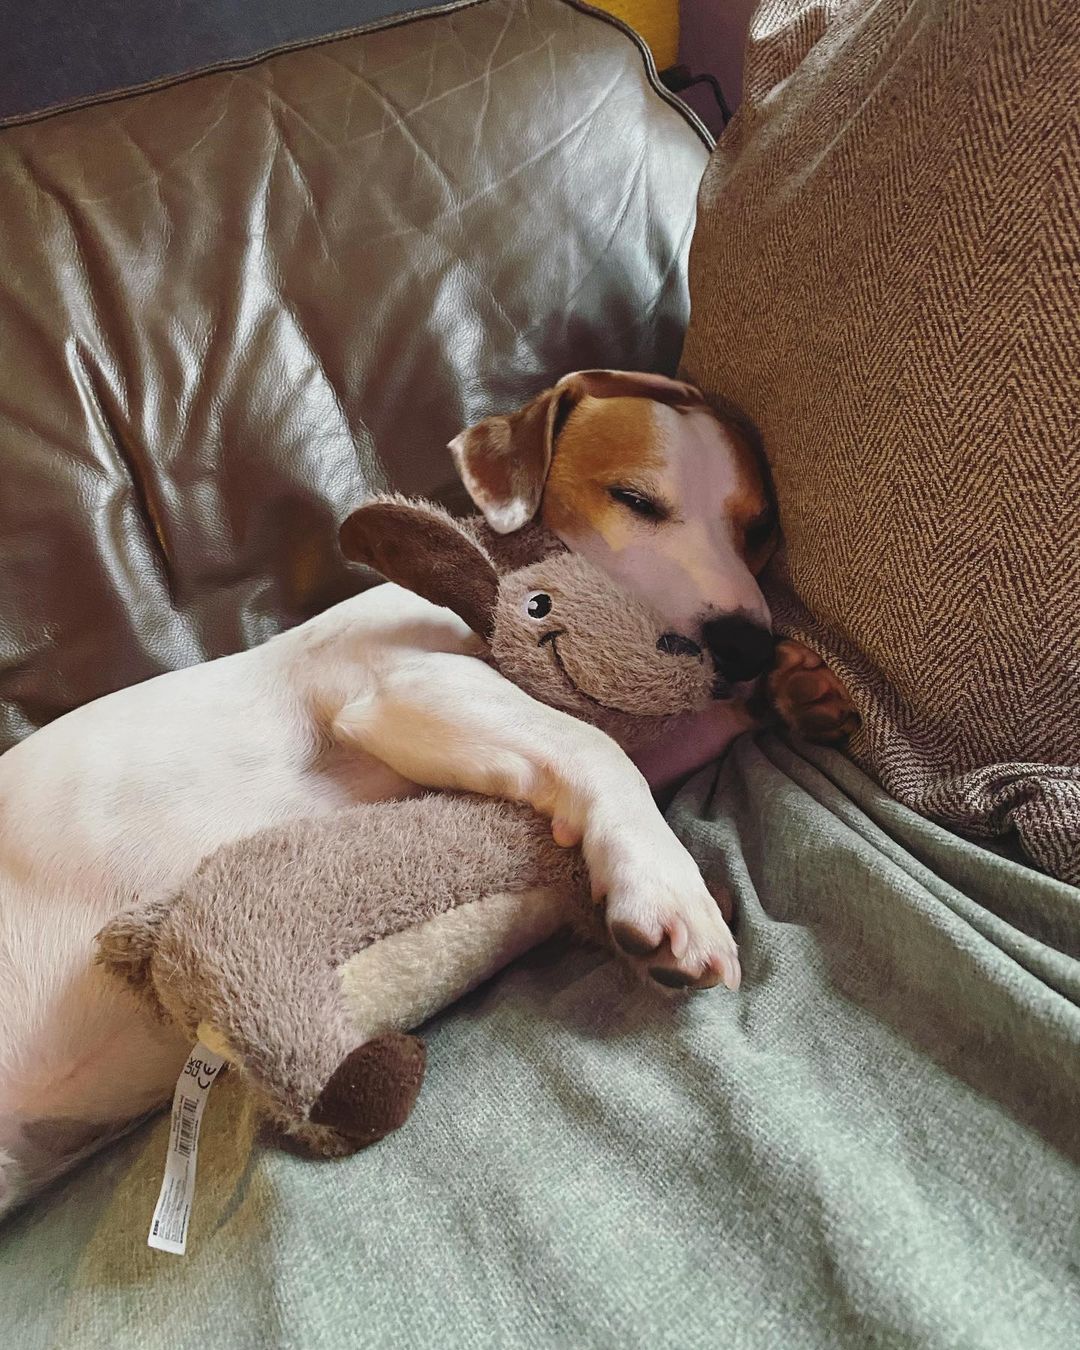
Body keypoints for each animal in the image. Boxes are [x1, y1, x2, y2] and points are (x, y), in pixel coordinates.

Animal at [0, 367, 858, 1215]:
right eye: (636, 500)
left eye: (758, 528)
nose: (747, 644)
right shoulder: (409, 687)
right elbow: (599, 744)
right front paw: (670, 887)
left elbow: (658, 737)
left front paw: (787, 691)